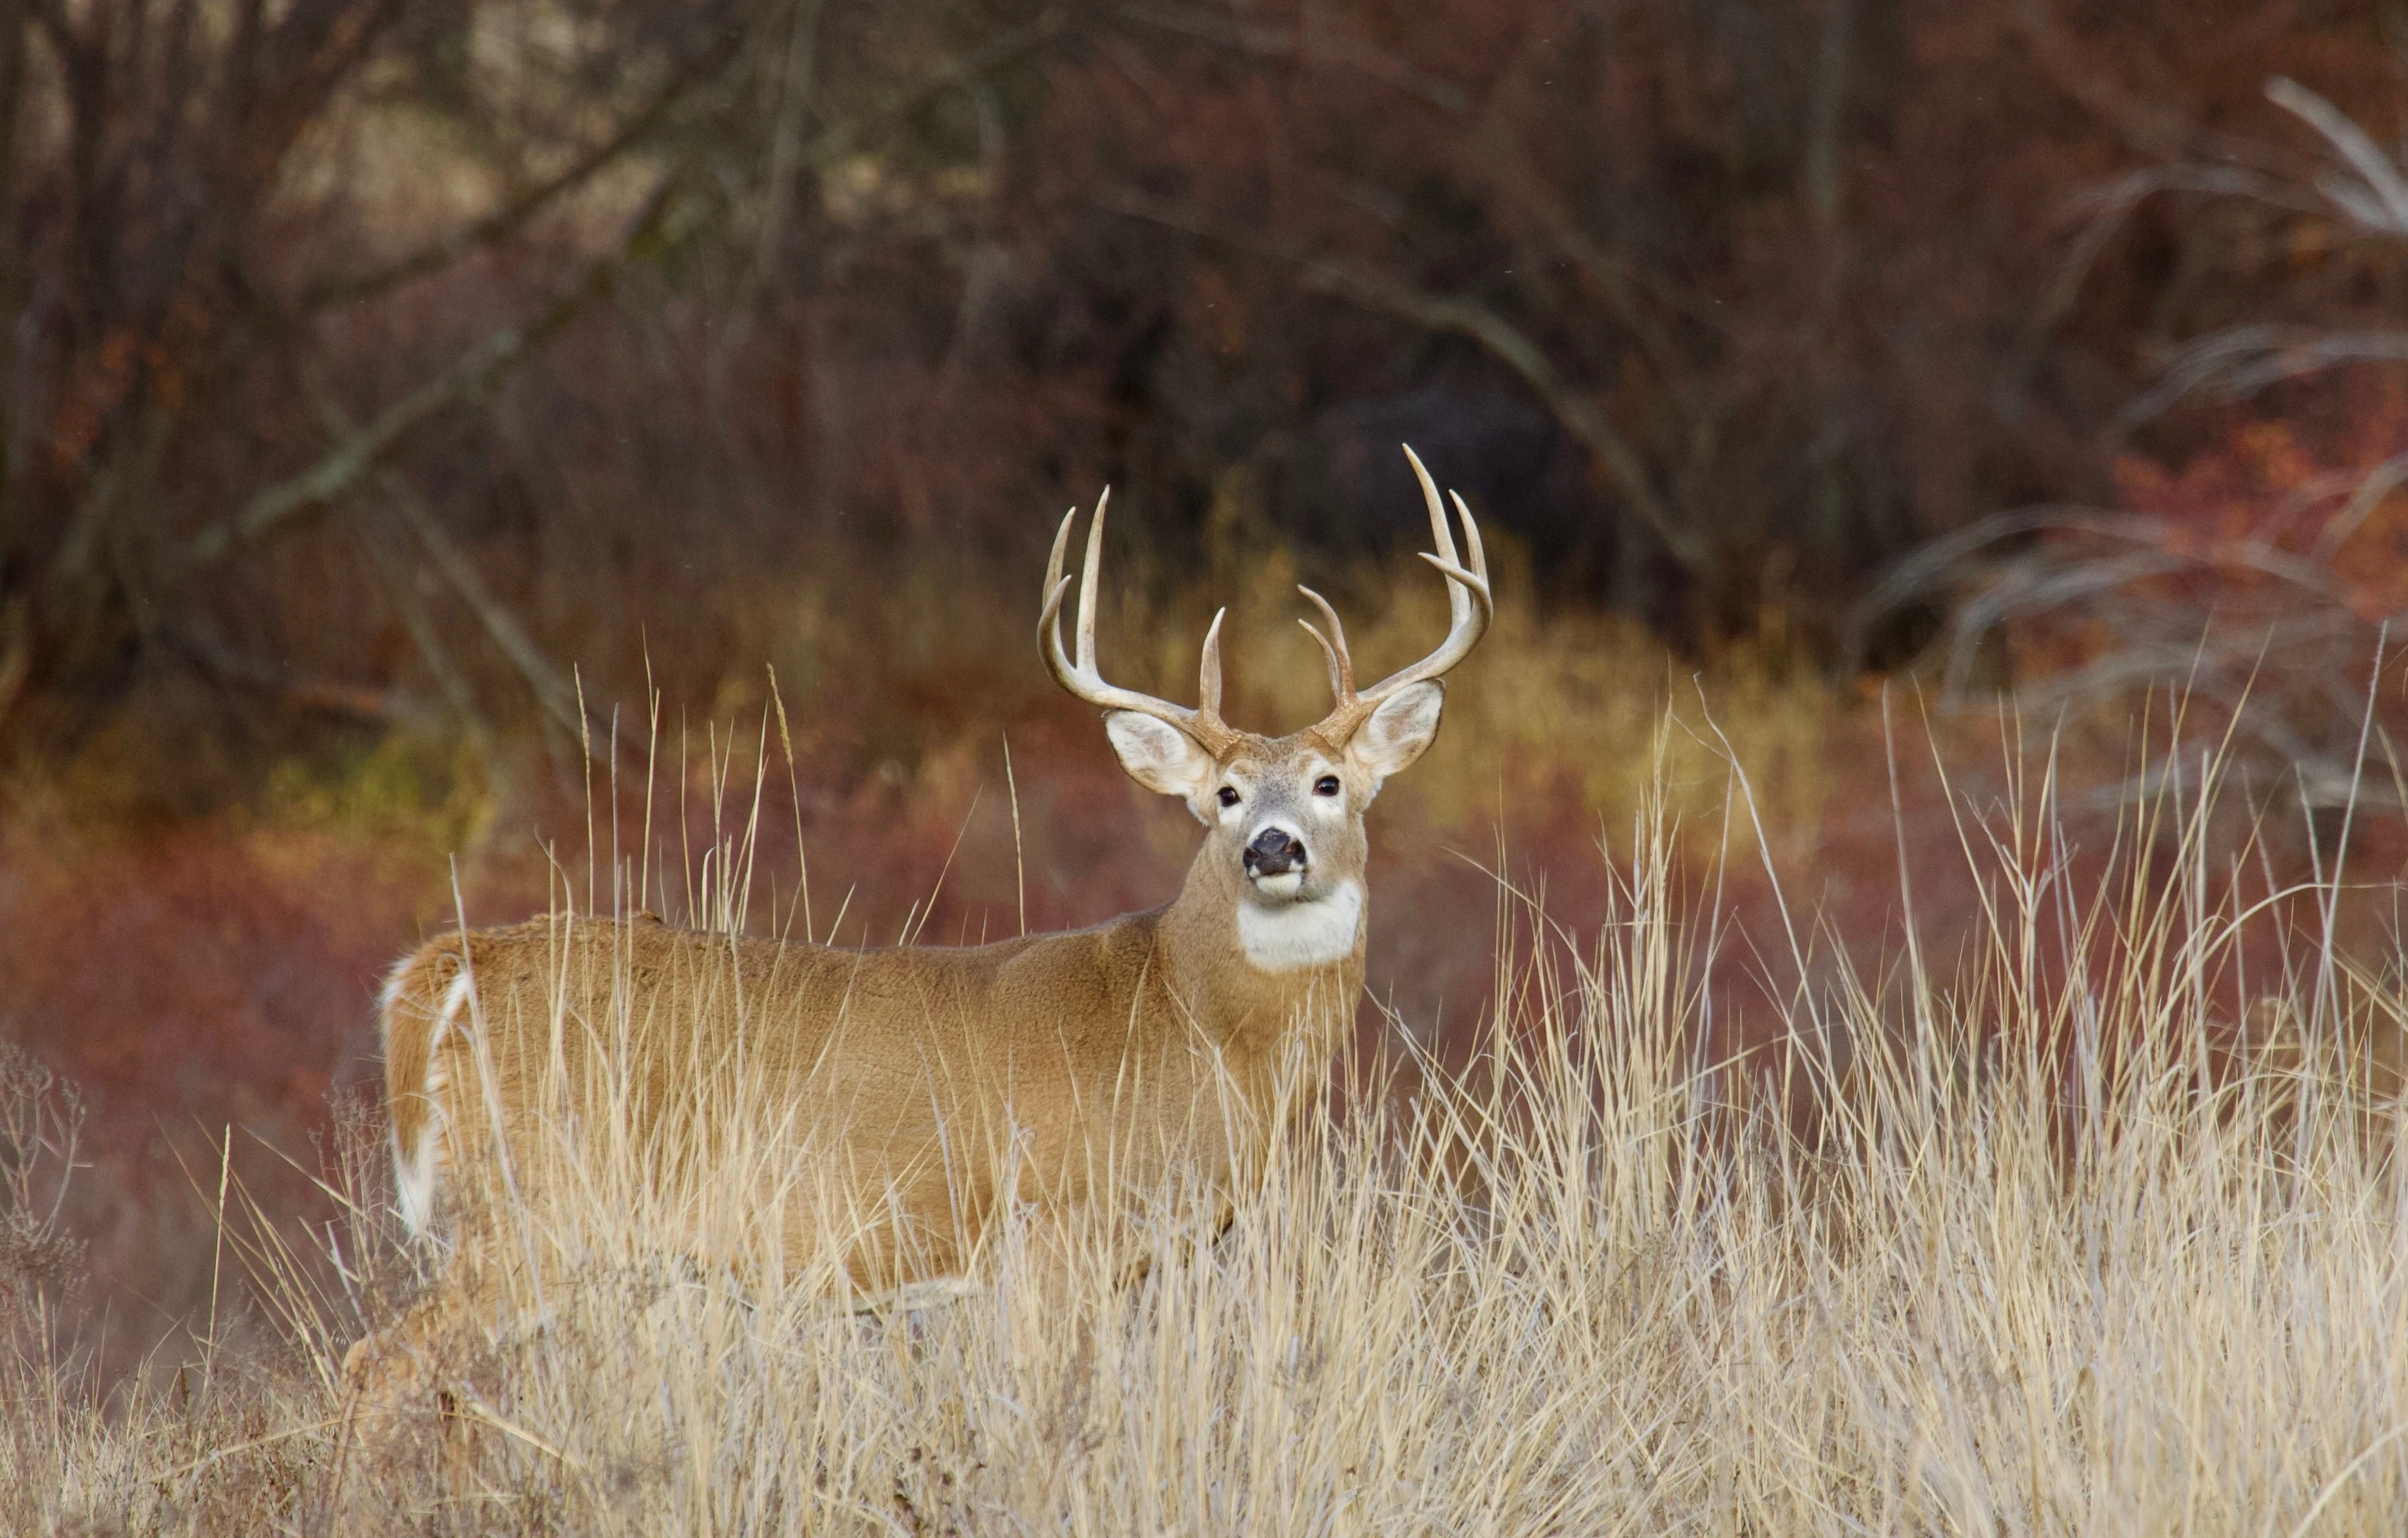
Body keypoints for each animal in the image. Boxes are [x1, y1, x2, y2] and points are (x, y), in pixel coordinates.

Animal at [344, 448, 1483, 1405]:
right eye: (1228, 795)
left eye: (1330, 782)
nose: (1273, 848)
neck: (1186, 1016)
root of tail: (453, 965)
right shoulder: (1050, 1224)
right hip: (536, 1201)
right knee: (378, 1361)